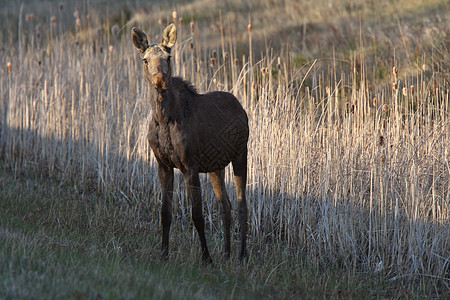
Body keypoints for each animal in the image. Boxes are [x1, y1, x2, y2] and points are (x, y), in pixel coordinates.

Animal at [130, 24, 250, 262]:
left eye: (168, 57)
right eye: (145, 60)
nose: (160, 82)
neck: (163, 120)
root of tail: (241, 108)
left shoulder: (190, 166)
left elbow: (197, 216)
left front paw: (206, 258)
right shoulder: (163, 165)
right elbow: (165, 213)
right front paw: (164, 253)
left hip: (241, 153)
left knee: (242, 205)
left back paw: (241, 256)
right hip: (216, 167)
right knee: (226, 205)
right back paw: (227, 254)